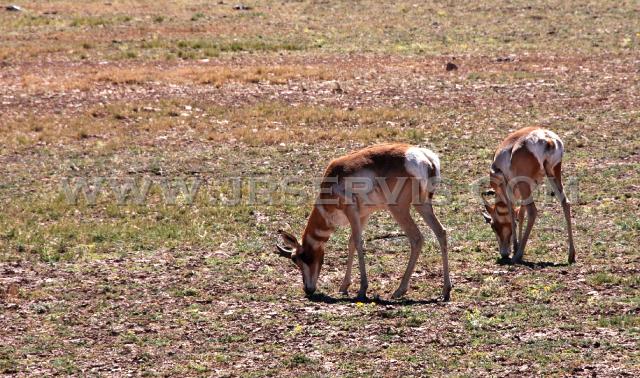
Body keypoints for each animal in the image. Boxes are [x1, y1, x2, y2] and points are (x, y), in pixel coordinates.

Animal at [276, 144, 450, 302]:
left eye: (298, 258)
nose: (308, 289)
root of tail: (426, 158)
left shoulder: (351, 211)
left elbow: (358, 242)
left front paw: (362, 289)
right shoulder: (363, 215)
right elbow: (351, 242)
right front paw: (344, 286)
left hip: (399, 209)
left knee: (416, 238)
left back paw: (399, 290)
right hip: (423, 205)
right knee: (441, 232)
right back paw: (446, 291)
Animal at [482, 127, 576, 262]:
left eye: (493, 226)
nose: (504, 253)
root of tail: (547, 139)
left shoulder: (506, 187)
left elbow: (512, 213)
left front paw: (516, 246)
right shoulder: (530, 186)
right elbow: (521, 213)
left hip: (526, 183)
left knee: (532, 211)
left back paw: (518, 255)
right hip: (553, 174)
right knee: (565, 203)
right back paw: (571, 255)